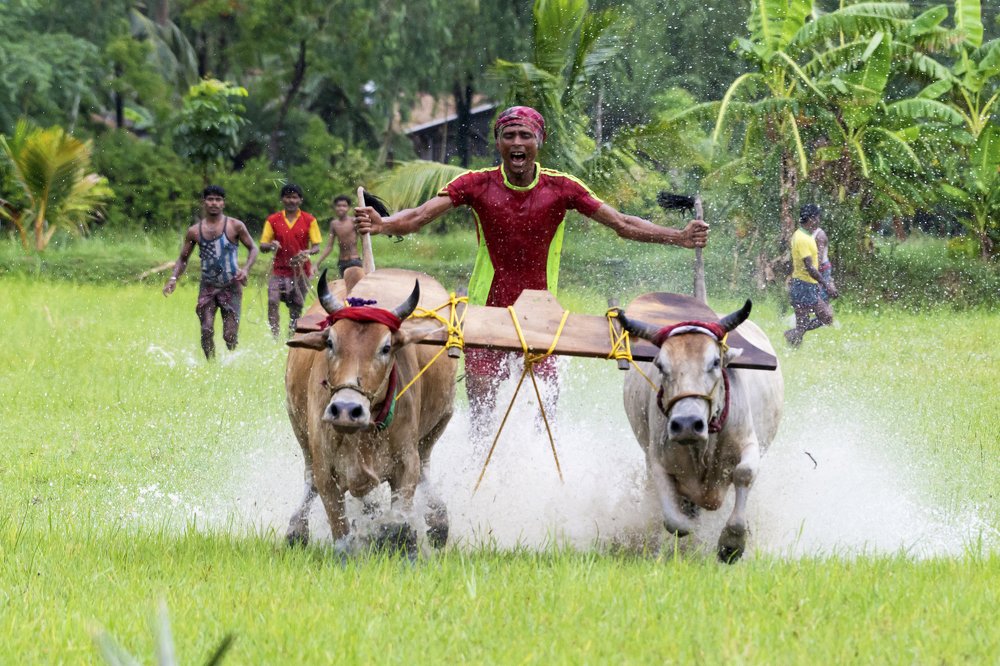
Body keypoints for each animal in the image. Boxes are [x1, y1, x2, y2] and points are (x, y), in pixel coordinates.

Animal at [283, 268, 457, 553]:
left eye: (385, 348)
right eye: (330, 342)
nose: (345, 409)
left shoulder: (406, 462)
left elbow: (399, 523)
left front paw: (402, 544)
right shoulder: (325, 468)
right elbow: (340, 531)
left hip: (439, 424)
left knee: (425, 470)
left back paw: (438, 521)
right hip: (299, 429)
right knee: (309, 481)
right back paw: (296, 530)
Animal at [618, 300, 783, 562]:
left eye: (715, 362)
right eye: (661, 365)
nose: (686, 424)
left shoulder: (748, 443)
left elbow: (744, 473)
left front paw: (732, 542)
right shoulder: (656, 459)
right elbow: (676, 522)